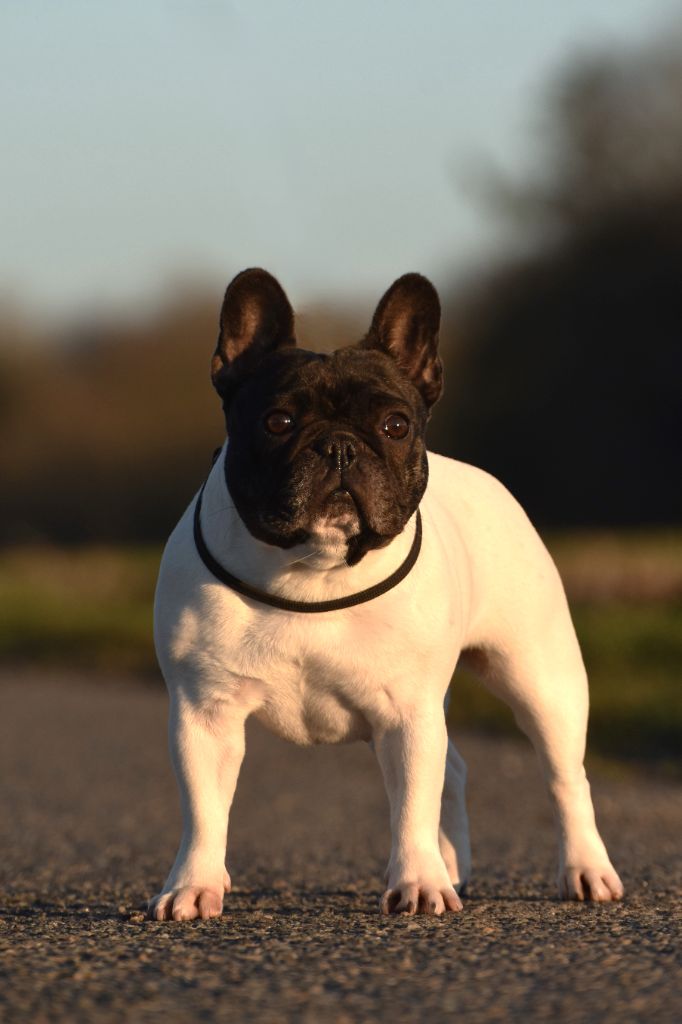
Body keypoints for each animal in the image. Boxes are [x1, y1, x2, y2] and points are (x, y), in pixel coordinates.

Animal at [148, 268, 624, 920]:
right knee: (455, 770)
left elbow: (412, 804)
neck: (313, 569)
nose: (339, 446)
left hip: (540, 679)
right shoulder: (206, 713)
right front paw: (194, 885)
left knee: (563, 777)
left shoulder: (406, 714)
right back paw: (455, 866)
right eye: (278, 422)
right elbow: (203, 810)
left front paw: (419, 882)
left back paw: (585, 870)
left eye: (395, 426)